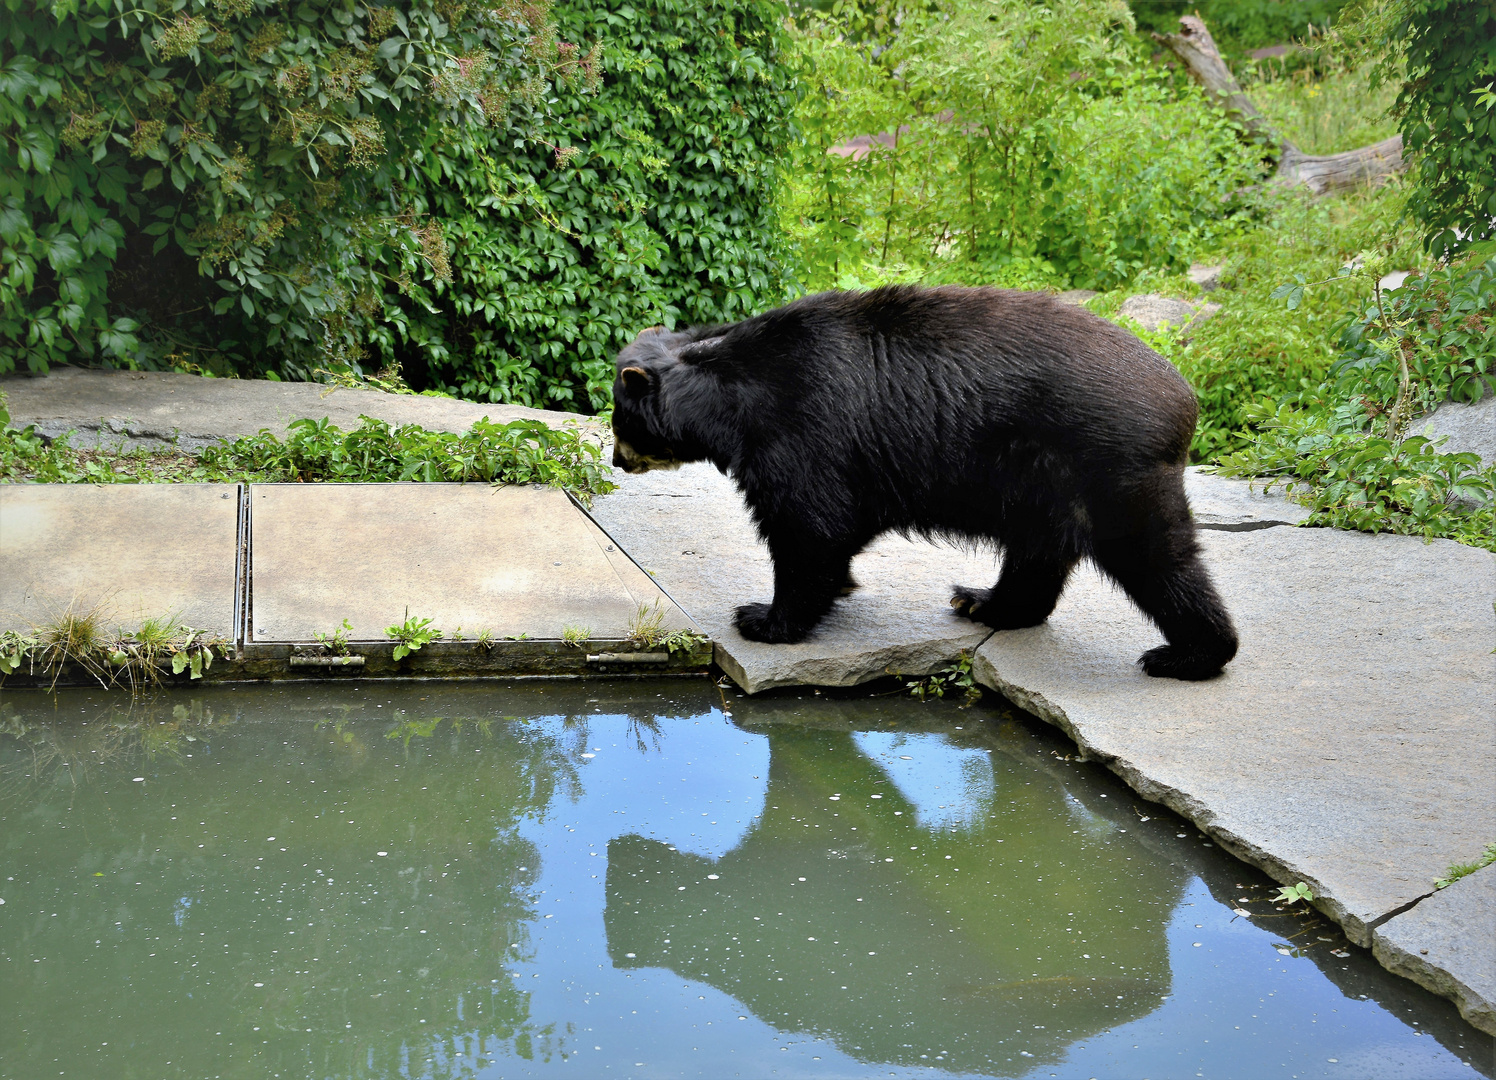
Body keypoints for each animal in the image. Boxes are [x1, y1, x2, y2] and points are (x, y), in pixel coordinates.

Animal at [607, 281, 1238, 676]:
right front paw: (833, 590)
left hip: (1107, 467)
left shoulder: (802, 429)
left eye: (618, 419)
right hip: (1041, 479)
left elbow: (809, 524)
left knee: (1155, 557)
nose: (616, 461)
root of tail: (1183, 398)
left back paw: (1189, 655)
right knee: (1038, 547)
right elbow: (838, 529)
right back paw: (985, 602)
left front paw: (762, 618)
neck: (732, 392)